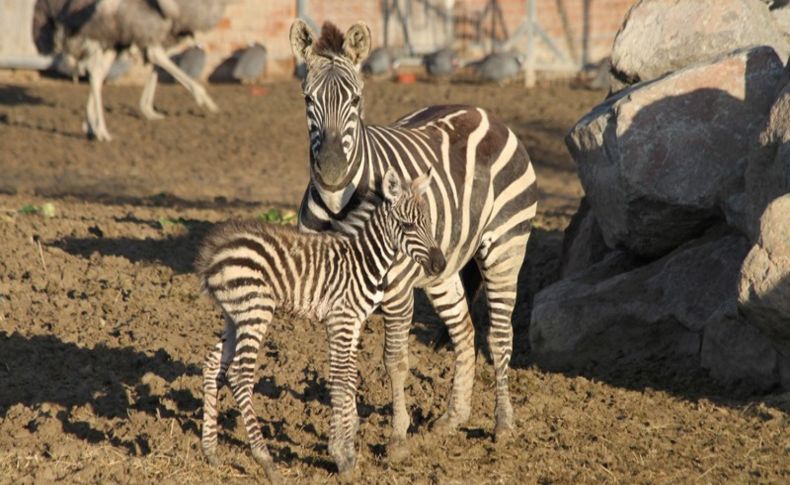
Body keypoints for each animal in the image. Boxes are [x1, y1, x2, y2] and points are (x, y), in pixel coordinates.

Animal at [196, 167, 446, 476]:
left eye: (429, 222)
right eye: (407, 225)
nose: (440, 265)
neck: (364, 258)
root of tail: (215, 252)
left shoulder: (354, 322)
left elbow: (349, 378)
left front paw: (347, 445)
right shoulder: (341, 320)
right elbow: (340, 379)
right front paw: (342, 455)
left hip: (235, 317)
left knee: (212, 366)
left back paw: (210, 451)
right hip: (255, 311)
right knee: (240, 375)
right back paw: (265, 460)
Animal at [290, 19, 540, 454]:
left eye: (356, 99)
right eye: (308, 99)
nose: (333, 171)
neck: (339, 205)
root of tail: (483, 113)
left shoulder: (397, 291)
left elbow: (395, 360)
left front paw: (396, 436)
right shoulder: (333, 292)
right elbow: (341, 363)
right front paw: (343, 437)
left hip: (506, 248)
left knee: (499, 337)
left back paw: (503, 424)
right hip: (442, 269)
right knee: (465, 333)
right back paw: (453, 419)